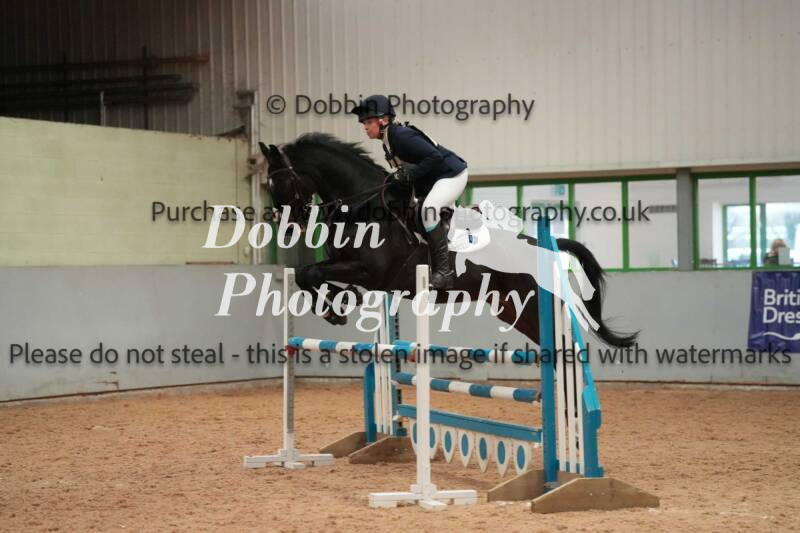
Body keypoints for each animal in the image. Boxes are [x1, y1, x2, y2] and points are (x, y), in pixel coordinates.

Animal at [259, 133, 636, 348]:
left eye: (284, 183)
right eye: (268, 186)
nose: (289, 228)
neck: (362, 205)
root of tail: (537, 243)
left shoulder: (372, 272)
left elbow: (312, 273)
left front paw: (338, 304)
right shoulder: (346, 266)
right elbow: (307, 273)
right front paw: (337, 305)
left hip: (530, 301)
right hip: (510, 307)